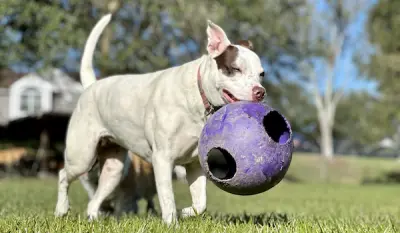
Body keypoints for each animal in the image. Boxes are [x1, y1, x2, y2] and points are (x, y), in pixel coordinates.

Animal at [54, 12, 266, 224]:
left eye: (262, 74)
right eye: (235, 69)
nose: (260, 92)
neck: (198, 97)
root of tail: (91, 86)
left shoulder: (195, 165)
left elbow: (200, 204)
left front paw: (186, 212)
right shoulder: (162, 159)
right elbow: (167, 197)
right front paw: (172, 222)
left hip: (114, 170)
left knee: (95, 198)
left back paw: (92, 217)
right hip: (81, 156)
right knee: (64, 174)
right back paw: (61, 210)